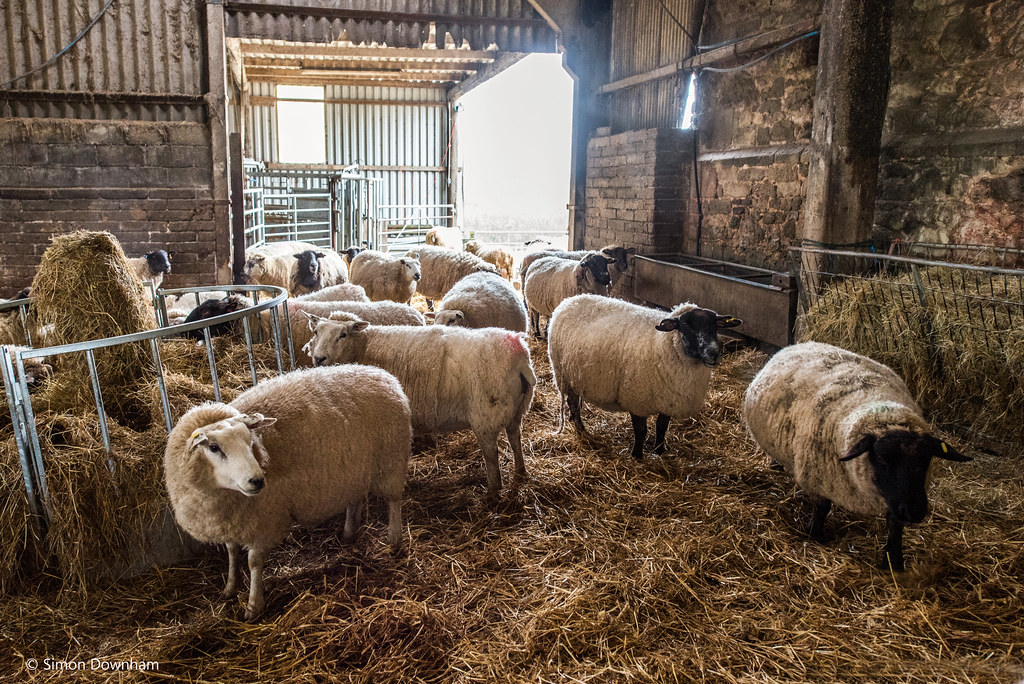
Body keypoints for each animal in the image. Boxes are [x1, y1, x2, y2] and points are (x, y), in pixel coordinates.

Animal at [163, 366, 411, 622]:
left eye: (250, 442)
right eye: (214, 447)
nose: (257, 480)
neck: (223, 493)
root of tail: (382, 374)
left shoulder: (263, 521)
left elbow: (253, 562)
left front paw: (253, 606)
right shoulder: (230, 521)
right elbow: (232, 552)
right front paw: (230, 587)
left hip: (392, 459)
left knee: (394, 501)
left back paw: (394, 540)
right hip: (355, 471)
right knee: (355, 500)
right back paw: (349, 533)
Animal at [303, 313, 540, 493]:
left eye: (342, 335)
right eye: (316, 332)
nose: (319, 358)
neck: (363, 348)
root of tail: (520, 355)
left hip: (486, 414)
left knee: (492, 455)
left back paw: (493, 491)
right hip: (517, 409)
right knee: (515, 438)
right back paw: (520, 473)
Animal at [548, 294, 741, 458]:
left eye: (715, 326)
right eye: (685, 325)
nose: (713, 353)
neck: (663, 343)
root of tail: (568, 301)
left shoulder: (668, 399)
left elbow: (662, 427)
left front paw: (660, 450)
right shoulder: (636, 399)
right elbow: (641, 430)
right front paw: (637, 455)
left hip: (577, 377)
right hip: (563, 374)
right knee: (573, 404)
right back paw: (581, 431)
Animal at [745, 342, 966, 573]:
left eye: (926, 460)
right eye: (882, 459)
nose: (914, 512)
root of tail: (802, 344)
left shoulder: (895, 499)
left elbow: (895, 526)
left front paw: (893, 561)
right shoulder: (817, 479)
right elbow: (822, 509)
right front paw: (815, 535)